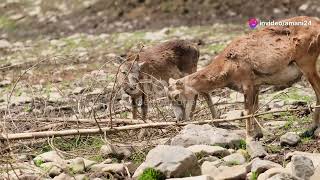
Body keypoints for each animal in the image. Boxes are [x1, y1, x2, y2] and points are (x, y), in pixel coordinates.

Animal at [168, 16, 320, 141]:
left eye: (176, 96)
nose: (179, 120)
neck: (227, 66)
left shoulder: (246, 83)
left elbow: (247, 110)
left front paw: (248, 137)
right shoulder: (256, 85)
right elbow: (255, 109)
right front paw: (258, 134)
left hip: (307, 63)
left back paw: (310, 129)